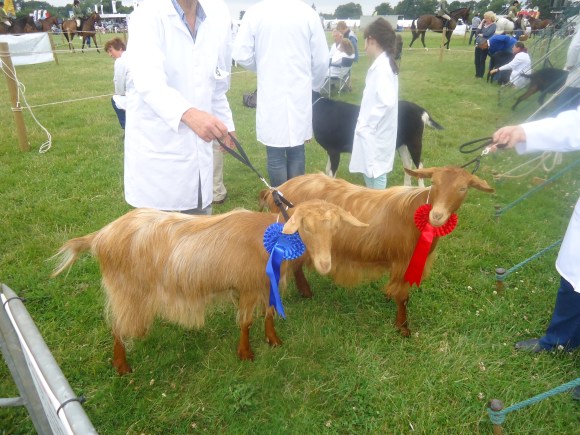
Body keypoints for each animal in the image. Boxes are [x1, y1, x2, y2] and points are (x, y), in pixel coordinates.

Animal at [51, 200, 367, 375]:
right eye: (306, 228)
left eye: (334, 228)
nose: (325, 264)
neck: (272, 238)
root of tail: (100, 235)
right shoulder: (249, 286)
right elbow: (246, 322)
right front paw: (245, 354)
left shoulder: (266, 284)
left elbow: (268, 314)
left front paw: (273, 340)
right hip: (126, 291)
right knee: (117, 325)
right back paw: (122, 365)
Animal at [260, 167, 494, 337]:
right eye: (434, 183)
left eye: (463, 188)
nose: (436, 216)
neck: (413, 214)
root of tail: (276, 190)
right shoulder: (403, 260)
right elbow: (403, 298)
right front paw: (402, 328)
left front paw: (389, 298)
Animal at [312, 97, 444, 187]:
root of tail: (421, 111)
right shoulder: (330, 150)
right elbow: (327, 170)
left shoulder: (334, 150)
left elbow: (331, 174)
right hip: (402, 144)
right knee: (408, 163)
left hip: (414, 141)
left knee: (419, 165)